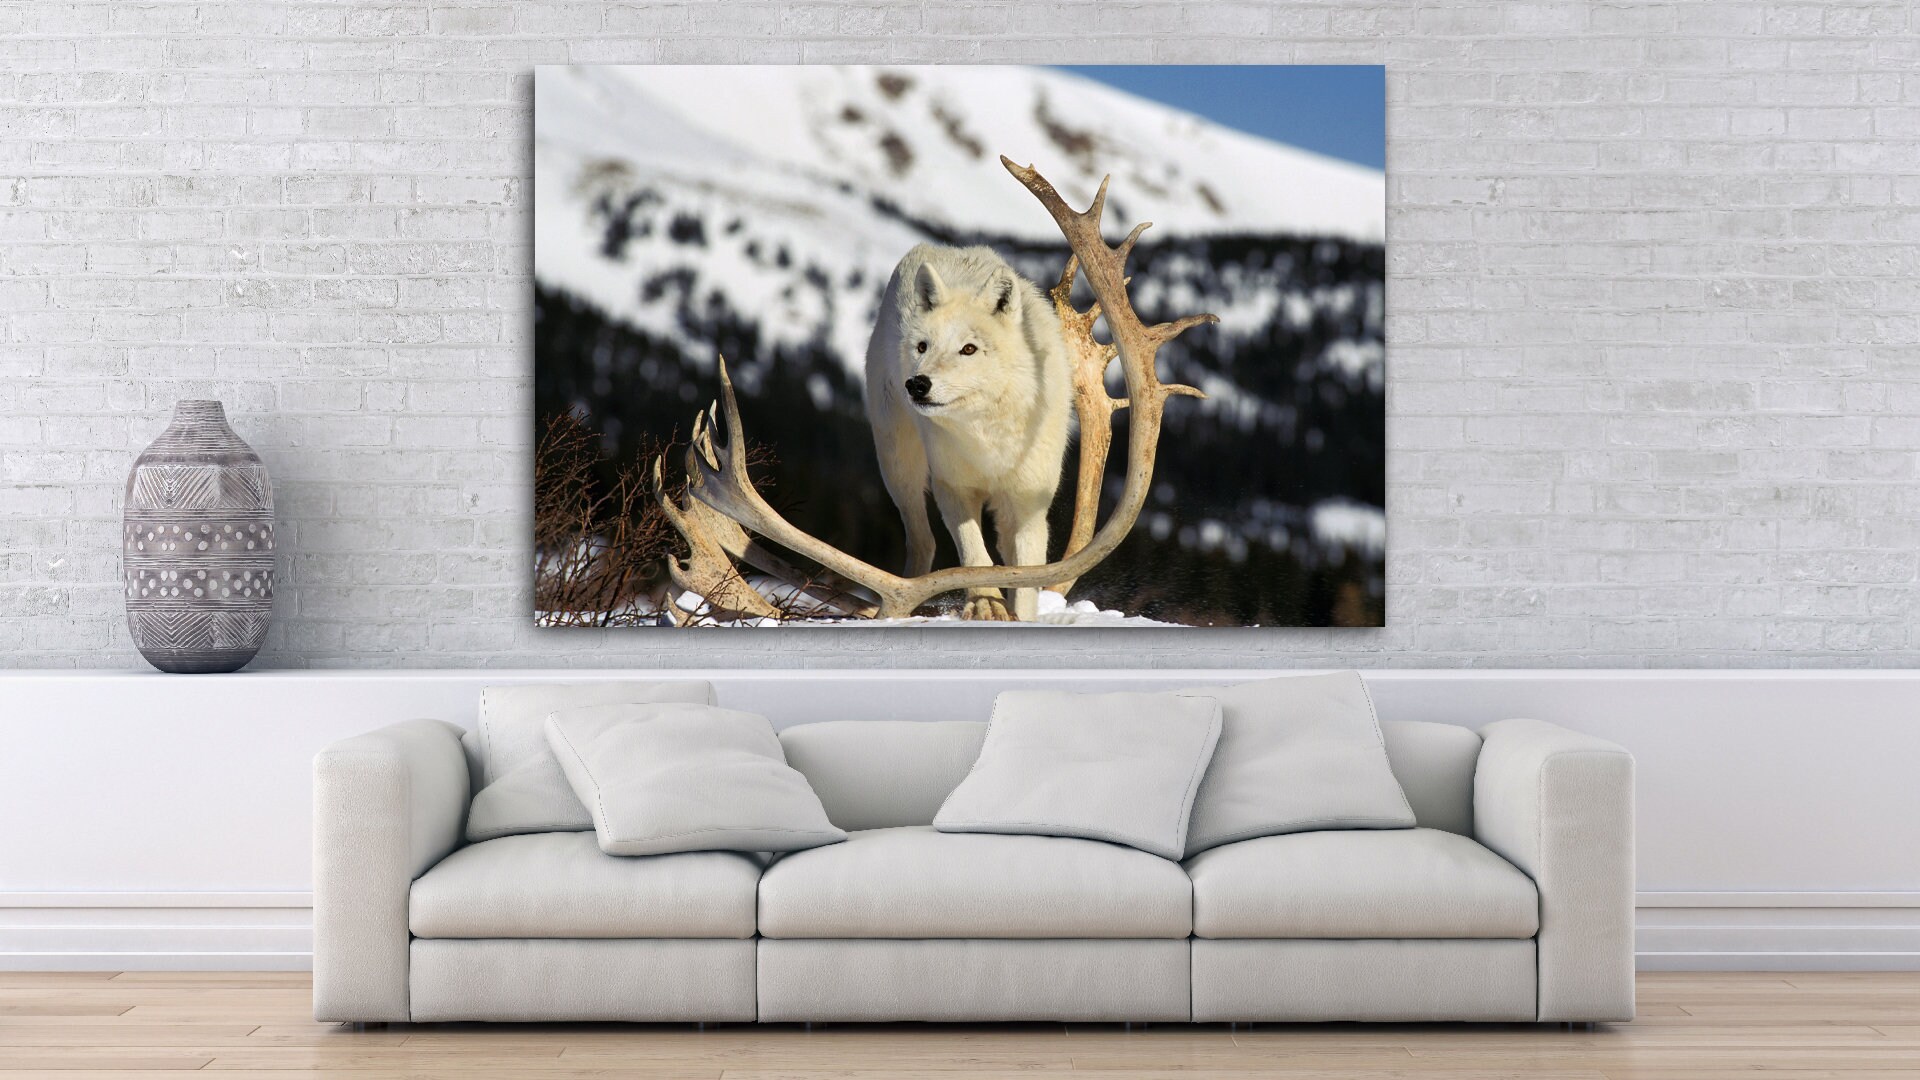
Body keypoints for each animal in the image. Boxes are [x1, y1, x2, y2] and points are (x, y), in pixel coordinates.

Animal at [864, 244, 1073, 621]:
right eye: (922, 346)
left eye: (969, 349)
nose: (917, 385)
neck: (988, 441)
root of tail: (933, 248)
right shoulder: (952, 487)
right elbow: (974, 554)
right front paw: (986, 605)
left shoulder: (1029, 501)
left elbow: (1025, 577)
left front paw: (1017, 613)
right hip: (898, 466)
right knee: (923, 540)